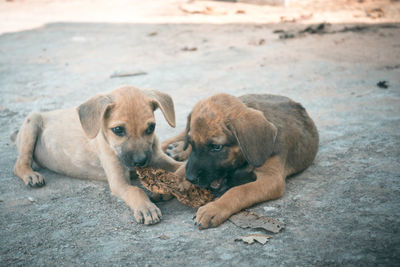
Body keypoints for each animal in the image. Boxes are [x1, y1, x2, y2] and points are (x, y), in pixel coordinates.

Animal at [12, 87, 181, 225]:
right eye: (118, 130)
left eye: (151, 127)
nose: (140, 161)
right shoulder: (118, 181)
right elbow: (135, 190)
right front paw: (147, 208)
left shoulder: (158, 158)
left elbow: (180, 167)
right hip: (32, 121)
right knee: (19, 164)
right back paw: (31, 175)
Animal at [162, 93, 318, 230]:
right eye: (192, 143)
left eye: (216, 147)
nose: (190, 178)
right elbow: (181, 168)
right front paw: (166, 182)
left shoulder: (272, 179)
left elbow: (239, 191)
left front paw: (213, 209)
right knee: (174, 137)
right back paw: (177, 148)